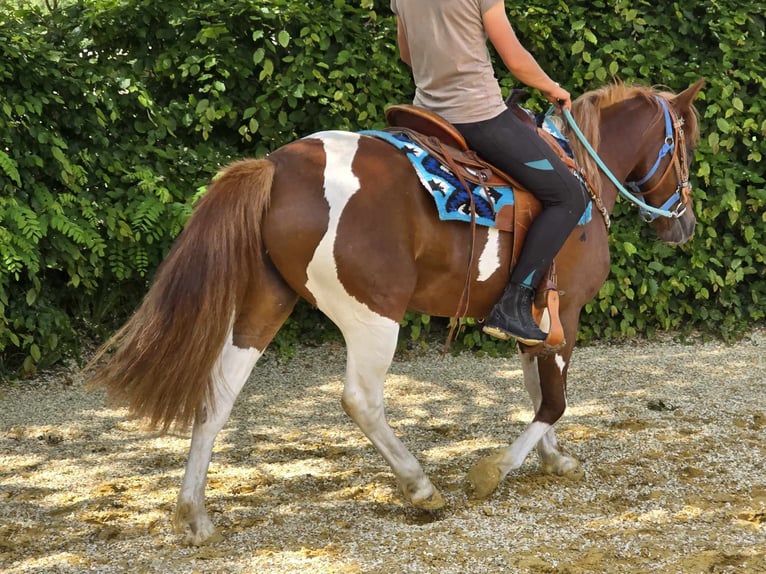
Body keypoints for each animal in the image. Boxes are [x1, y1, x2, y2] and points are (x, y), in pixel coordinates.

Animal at [88, 79, 704, 545]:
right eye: (686, 149)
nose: (685, 226)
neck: (580, 174)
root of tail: (277, 167)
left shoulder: (531, 319)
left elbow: (535, 387)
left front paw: (553, 460)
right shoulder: (566, 314)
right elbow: (553, 400)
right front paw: (494, 471)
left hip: (265, 305)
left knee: (218, 395)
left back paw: (194, 513)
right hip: (373, 315)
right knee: (361, 400)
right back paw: (420, 487)